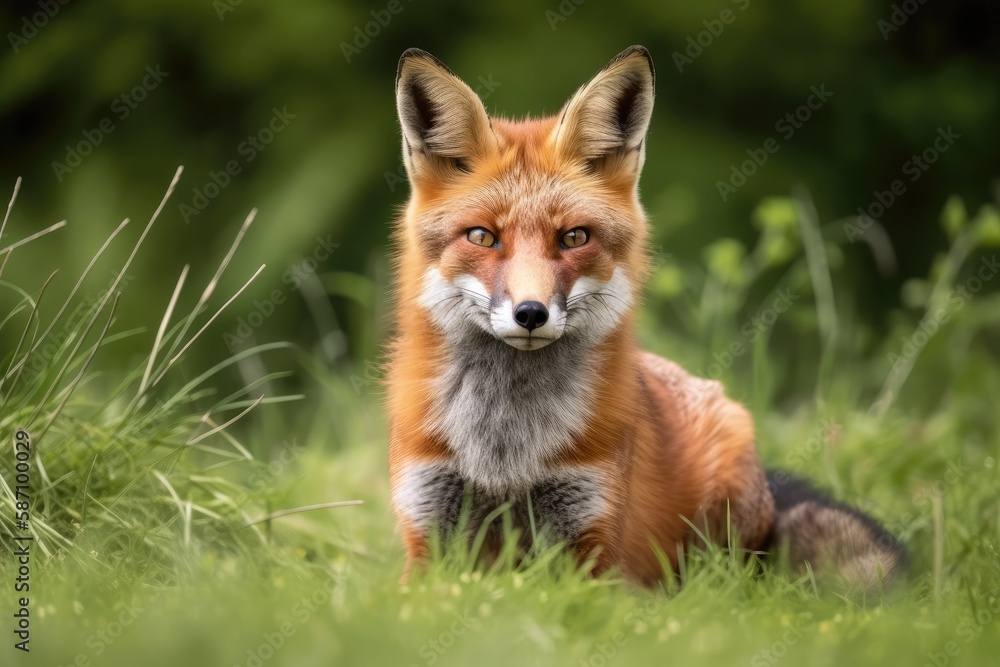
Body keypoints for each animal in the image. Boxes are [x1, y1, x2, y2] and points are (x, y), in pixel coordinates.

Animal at [386, 45, 912, 588]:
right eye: (482, 237)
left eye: (574, 237)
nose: (530, 313)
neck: (506, 454)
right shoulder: (427, 535)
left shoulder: (593, 541)